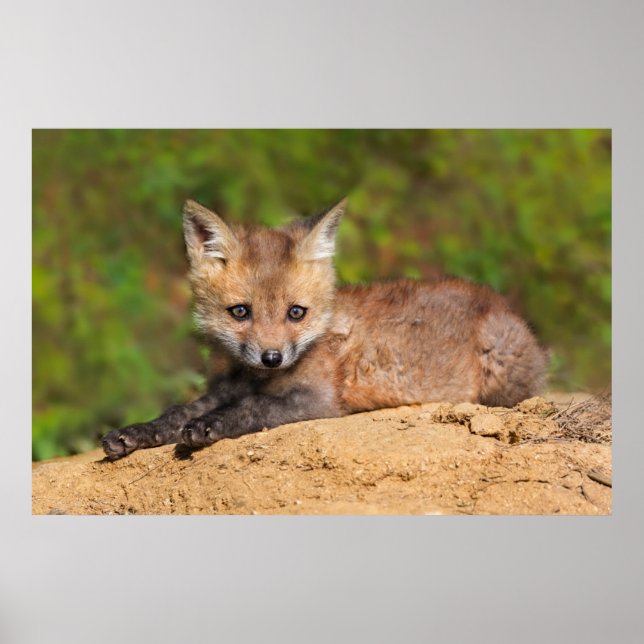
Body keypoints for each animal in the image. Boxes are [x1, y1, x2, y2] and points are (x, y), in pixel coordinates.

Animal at [102, 197, 548, 460]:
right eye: (240, 312)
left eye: (296, 313)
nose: (272, 357)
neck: (255, 377)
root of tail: (498, 301)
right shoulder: (224, 388)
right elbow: (178, 410)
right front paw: (136, 432)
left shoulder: (318, 401)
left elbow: (254, 408)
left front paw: (209, 427)